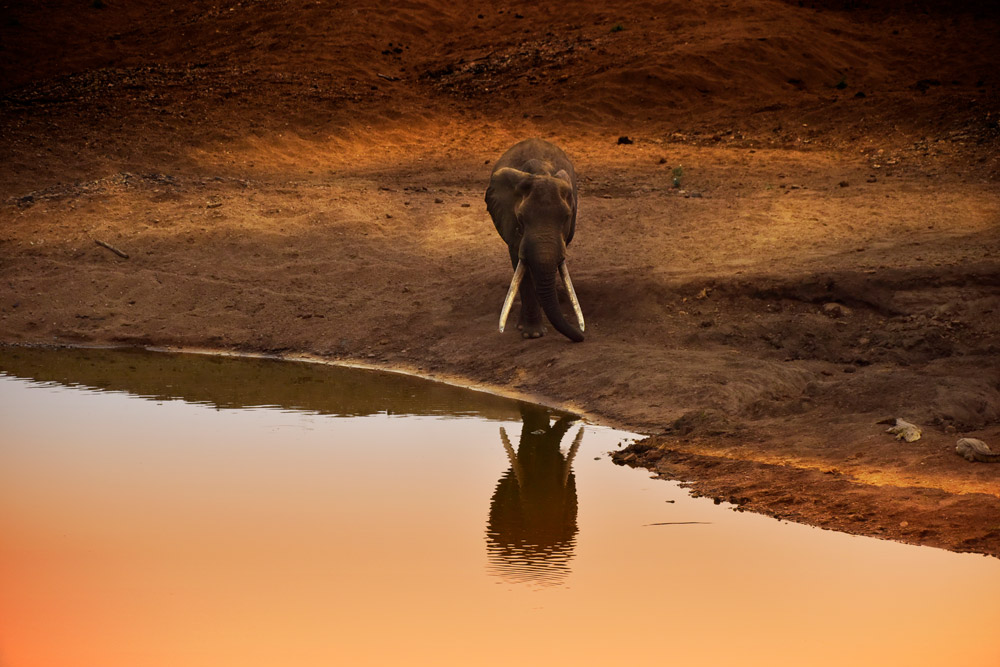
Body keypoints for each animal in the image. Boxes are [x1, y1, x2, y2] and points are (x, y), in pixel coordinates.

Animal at [484, 138, 584, 342]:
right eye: (520, 219)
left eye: (566, 217)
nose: (581, 336)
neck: (540, 172)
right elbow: (521, 264)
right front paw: (533, 334)